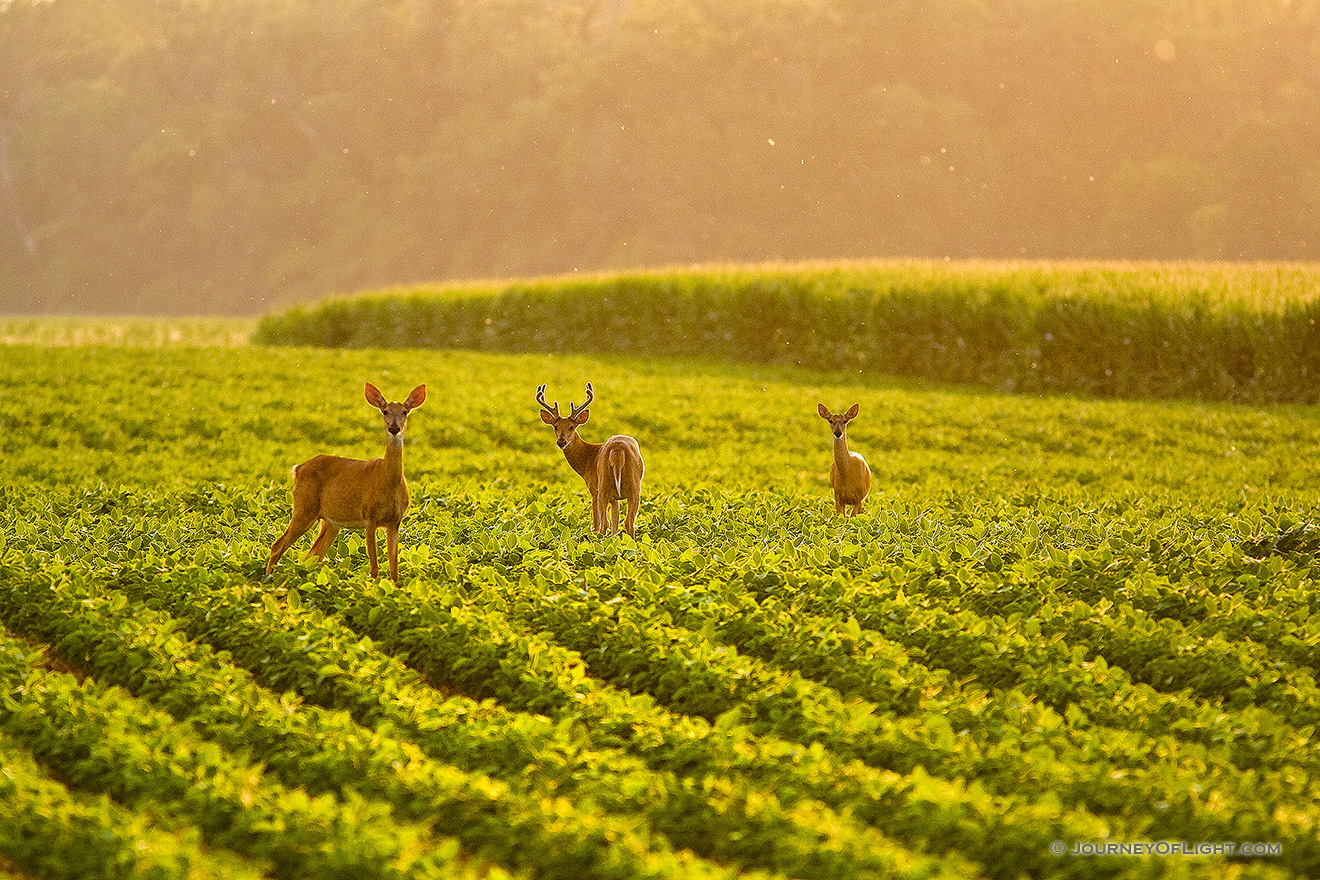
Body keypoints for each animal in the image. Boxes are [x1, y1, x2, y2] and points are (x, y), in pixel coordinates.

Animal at [267, 385, 427, 585]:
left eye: (405, 411)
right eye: (385, 411)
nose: (394, 428)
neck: (388, 481)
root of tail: (297, 469)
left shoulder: (395, 522)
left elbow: (394, 568)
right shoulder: (369, 516)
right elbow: (374, 566)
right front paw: (373, 587)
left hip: (330, 522)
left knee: (314, 555)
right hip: (304, 508)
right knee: (277, 545)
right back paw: (268, 580)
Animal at [533, 382, 641, 540]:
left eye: (571, 427)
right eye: (555, 426)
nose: (561, 442)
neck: (588, 458)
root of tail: (617, 451)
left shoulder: (593, 489)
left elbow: (597, 523)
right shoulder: (614, 498)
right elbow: (615, 525)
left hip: (604, 487)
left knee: (603, 524)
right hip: (633, 487)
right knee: (628, 523)